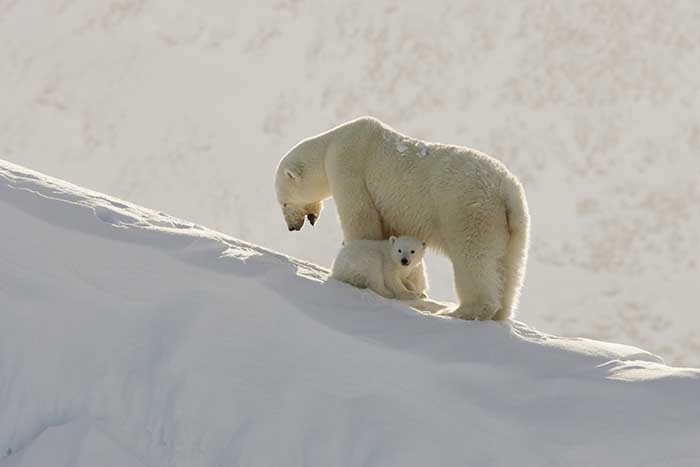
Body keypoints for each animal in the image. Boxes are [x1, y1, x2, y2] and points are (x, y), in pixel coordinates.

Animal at [276, 118, 528, 322]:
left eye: (284, 203)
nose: (292, 227)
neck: (331, 143)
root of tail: (506, 190)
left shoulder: (349, 167)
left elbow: (361, 219)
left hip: (469, 211)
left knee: (474, 258)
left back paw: (458, 311)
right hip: (513, 225)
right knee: (509, 267)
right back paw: (500, 312)